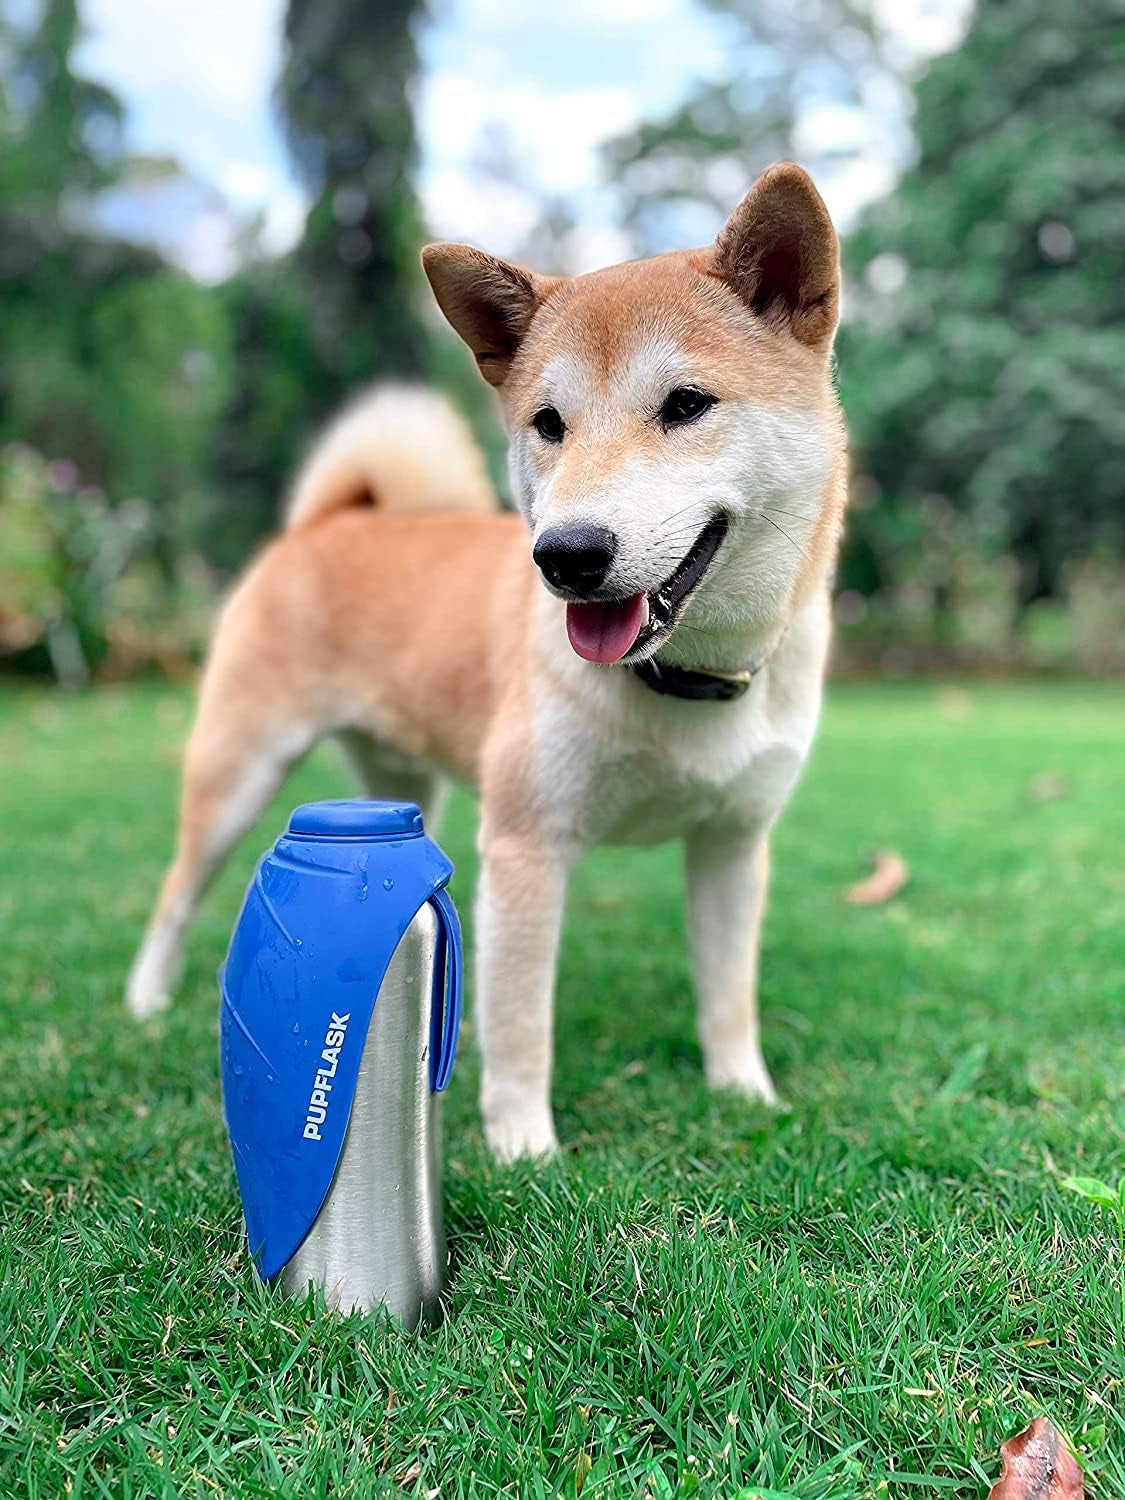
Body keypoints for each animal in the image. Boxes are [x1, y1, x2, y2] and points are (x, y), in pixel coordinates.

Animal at [125, 167, 846, 1170]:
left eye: (686, 404)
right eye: (548, 423)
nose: (567, 554)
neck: (682, 681)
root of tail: (331, 520)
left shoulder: (732, 845)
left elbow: (727, 995)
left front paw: (743, 1093)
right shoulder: (525, 847)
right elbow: (518, 1025)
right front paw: (522, 1148)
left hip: (400, 786)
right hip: (237, 774)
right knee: (175, 891)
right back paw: (146, 999)